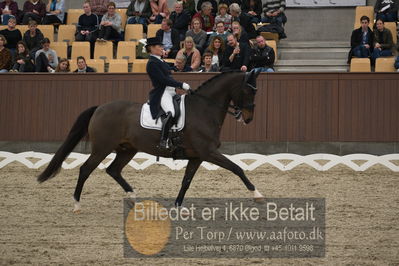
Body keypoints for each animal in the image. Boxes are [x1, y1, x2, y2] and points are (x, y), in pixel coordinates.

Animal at [36, 70, 262, 212]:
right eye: (249, 90)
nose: (249, 118)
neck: (204, 109)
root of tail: (100, 107)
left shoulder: (197, 156)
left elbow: (186, 181)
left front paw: (178, 207)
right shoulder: (208, 152)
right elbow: (237, 168)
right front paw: (257, 194)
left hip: (127, 149)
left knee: (113, 170)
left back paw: (133, 197)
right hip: (102, 148)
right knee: (85, 169)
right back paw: (76, 204)